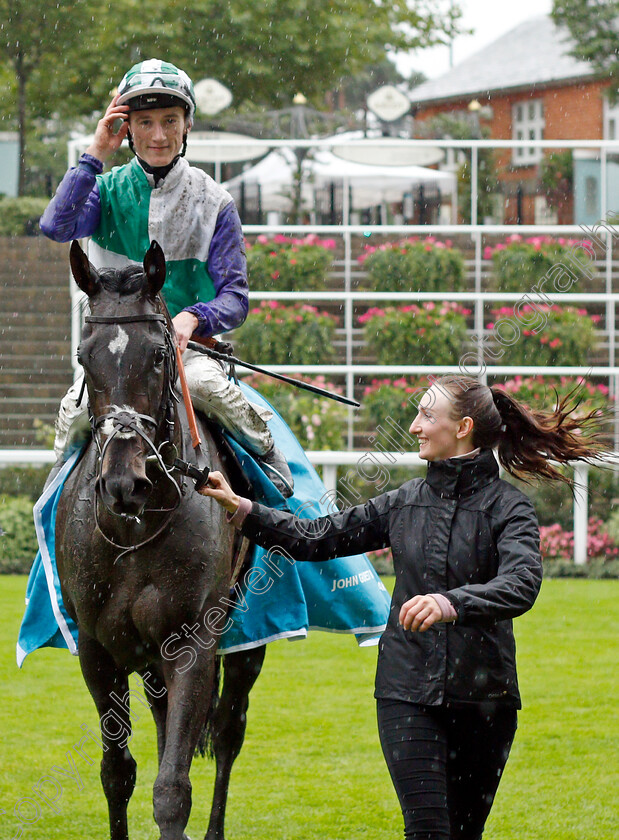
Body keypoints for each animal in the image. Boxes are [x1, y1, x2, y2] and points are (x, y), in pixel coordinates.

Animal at [54, 238, 266, 840]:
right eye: (85, 357)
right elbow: (117, 771)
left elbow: (173, 787)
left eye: (157, 355)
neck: (138, 526)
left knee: (227, 731)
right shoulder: (97, 650)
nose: (124, 482)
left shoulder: (193, 642)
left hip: (247, 642)